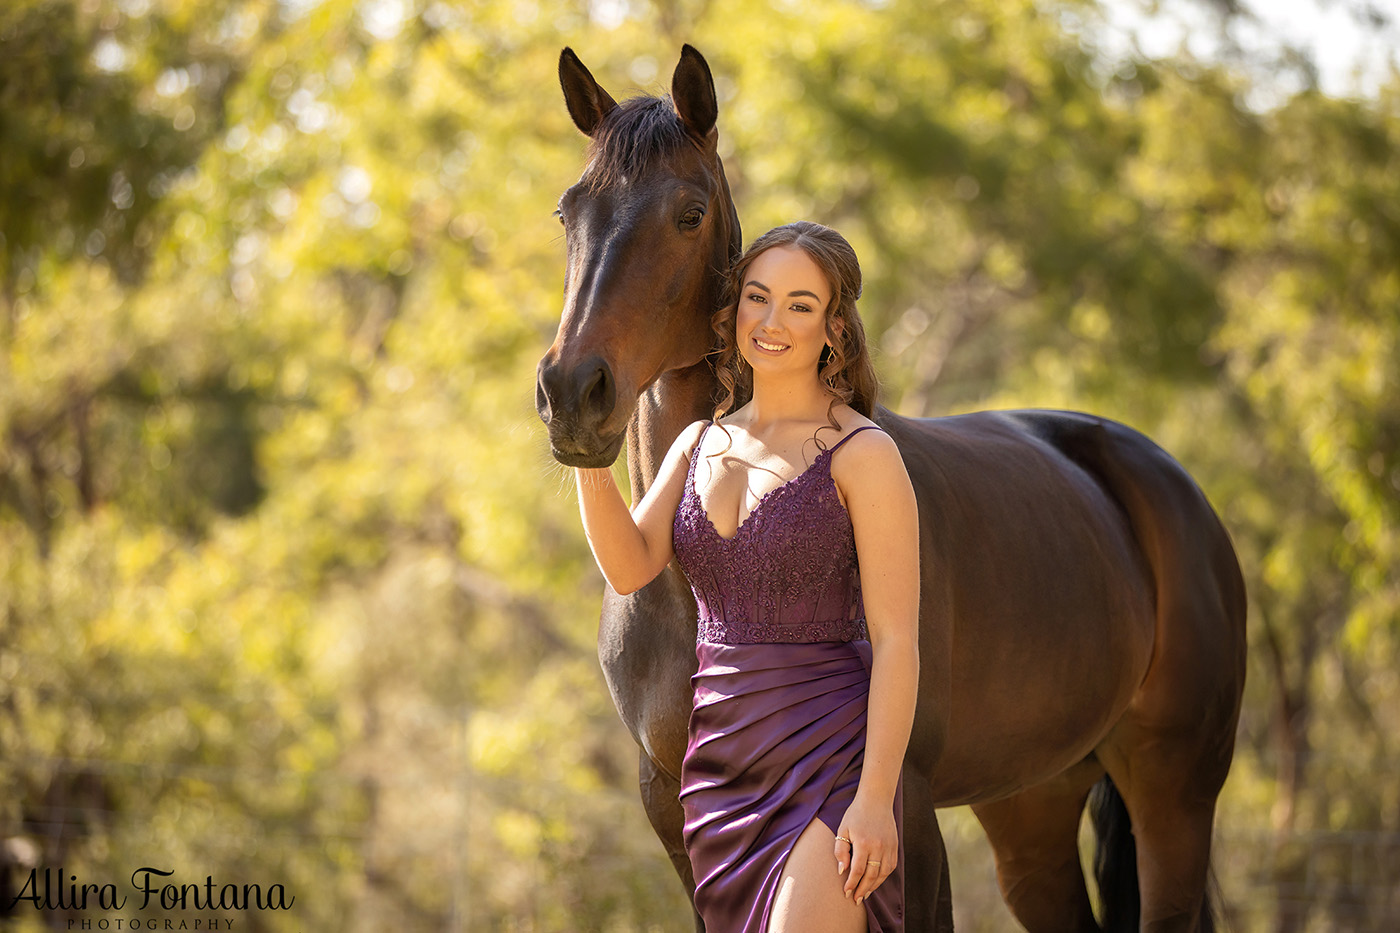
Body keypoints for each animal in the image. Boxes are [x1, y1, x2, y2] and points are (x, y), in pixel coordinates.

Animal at [534, 45, 1248, 930]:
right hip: (1036, 804)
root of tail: (1166, 481)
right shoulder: (672, 806)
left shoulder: (902, 807)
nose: (572, 393)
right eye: (569, 211)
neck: (682, 591)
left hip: (1172, 791)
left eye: (690, 213)